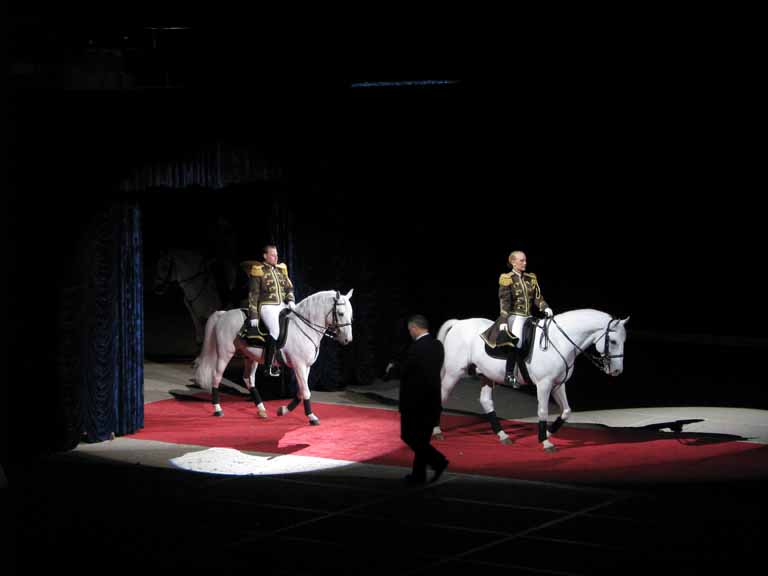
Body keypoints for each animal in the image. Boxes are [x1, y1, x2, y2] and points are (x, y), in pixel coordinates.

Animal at [196, 290, 356, 426]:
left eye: (351, 314)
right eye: (341, 313)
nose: (348, 339)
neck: (304, 328)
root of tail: (223, 314)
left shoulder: (307, 366)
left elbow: (301, 391)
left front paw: (283, 410)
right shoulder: (299, 365)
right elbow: (305, 391)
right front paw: (311, 417)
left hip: (250, 357)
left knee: (248, 379)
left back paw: (261, 409)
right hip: (225, 354)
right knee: (216, 377)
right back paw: (217, 409)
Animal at [436, 310, 628, 450]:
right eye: (612, 341)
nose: (617, 370)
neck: (559, 341)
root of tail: (458, 323)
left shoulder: (558, 385)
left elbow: (566, 411)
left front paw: (548, 434)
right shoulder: (544, 385)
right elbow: (542, 411)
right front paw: (545, 441)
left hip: (487, 375)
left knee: (485, 401)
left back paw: (503, 435)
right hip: (454, 373)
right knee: (443, 395)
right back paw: (437, 432)